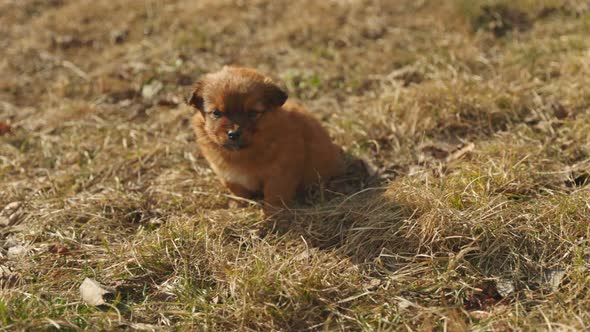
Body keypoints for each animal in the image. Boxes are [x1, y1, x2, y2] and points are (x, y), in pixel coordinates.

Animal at [190, 67, 346, 208]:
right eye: (216, 113)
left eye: (253, 113)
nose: (233, 133)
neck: (242, 153)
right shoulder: (226, 174)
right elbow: (236, 189)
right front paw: (239, 203)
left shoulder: (280, 175)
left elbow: (274, 196)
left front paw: (273, 213)